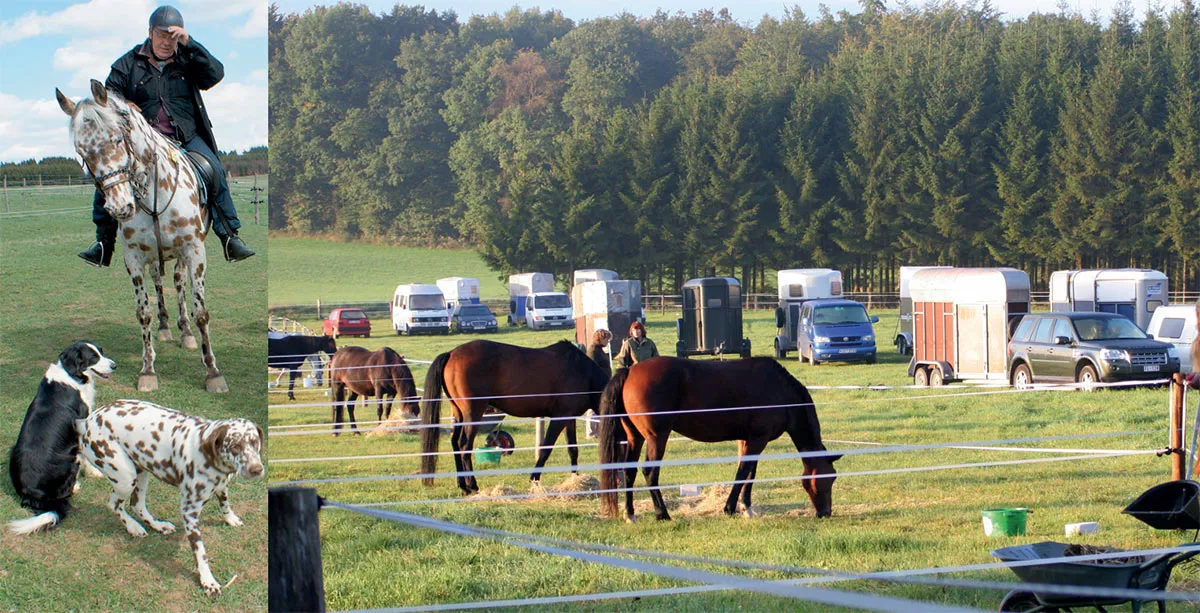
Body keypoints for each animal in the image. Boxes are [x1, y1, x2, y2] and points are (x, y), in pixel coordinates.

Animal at [56, 80, 224, 393]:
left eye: (117, 140)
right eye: (82, 153)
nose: (119, 207)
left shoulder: (194, 251)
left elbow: (201, 312)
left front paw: (213, 372)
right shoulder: (133, 257)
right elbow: (143, 312)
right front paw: (148, 370)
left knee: (178, 283)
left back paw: (185, 333)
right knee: (159, 282)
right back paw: (166, 328)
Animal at [420, 340, 611, 494]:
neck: (582, 372)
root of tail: (451, 353)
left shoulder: (569, 419)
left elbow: (573, 450)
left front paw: (576, 480)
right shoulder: (559, 418)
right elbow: (546, 448)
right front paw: (534, 479)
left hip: (458, 413)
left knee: (454, 443)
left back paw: (463, 486)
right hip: (473, 413)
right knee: (464, 445)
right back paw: (472, 485)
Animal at [598, 356, 840, 523]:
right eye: (830, 477)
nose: (825, 512)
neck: (781, 392)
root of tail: (630, 370)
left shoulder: (748, 440)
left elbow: (749, 473)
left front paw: (747, 508)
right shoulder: (758, 439)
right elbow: (743, 472)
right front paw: (730, 508)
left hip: (635, 437)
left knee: (629, 471)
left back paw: (630, 514)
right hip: (657, 437)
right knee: (650, 472)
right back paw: (662, 513)